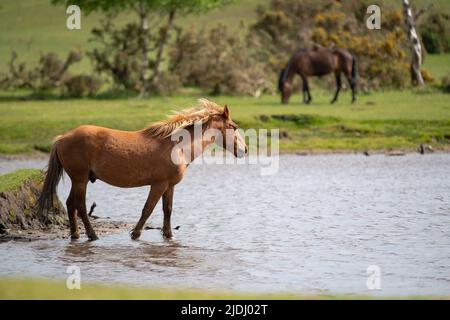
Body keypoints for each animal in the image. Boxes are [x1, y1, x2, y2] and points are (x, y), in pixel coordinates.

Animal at [37, 99, 250, 241]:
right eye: (233, 126)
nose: (245, 150)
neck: (177, 146)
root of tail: (62, 138)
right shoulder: (158, 185)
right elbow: (148, 209)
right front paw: (135, 234)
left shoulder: (169, 186)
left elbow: (167, 210)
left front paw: (169, 236)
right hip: (80, 179)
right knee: (80, 206)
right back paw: (92, 235)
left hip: (77, 179)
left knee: (71, 204)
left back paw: (75, 235)